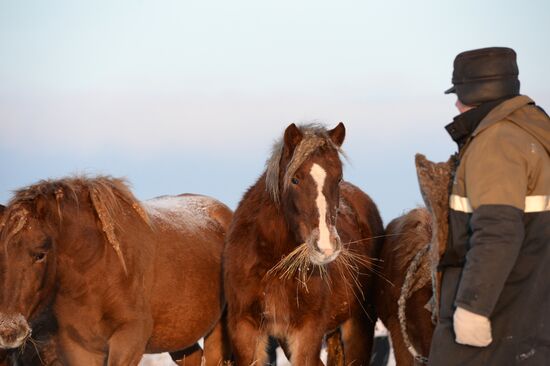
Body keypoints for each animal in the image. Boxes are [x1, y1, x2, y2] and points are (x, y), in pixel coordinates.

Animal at [223, 123, 384, 366]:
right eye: (295, 180)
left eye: (338, 178)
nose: (326, 246)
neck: (272, 262)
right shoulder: (244, 328)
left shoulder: (308, 330)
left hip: (359, 324)